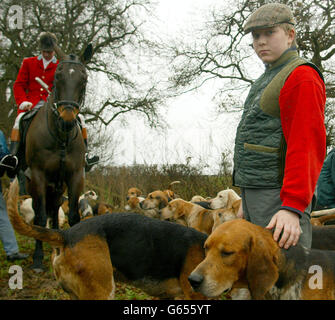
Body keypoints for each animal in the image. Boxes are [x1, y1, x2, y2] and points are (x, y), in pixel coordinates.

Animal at [24, 43, 93, 272]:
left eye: (84, 79)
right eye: (57, 77)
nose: (67, 119)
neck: (61, 138)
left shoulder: (75, 176)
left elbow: (73, 215)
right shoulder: (38, 175)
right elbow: (40, 216)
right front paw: (38, 259)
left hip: (58, 185)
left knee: (54, 210)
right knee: (41, 211)